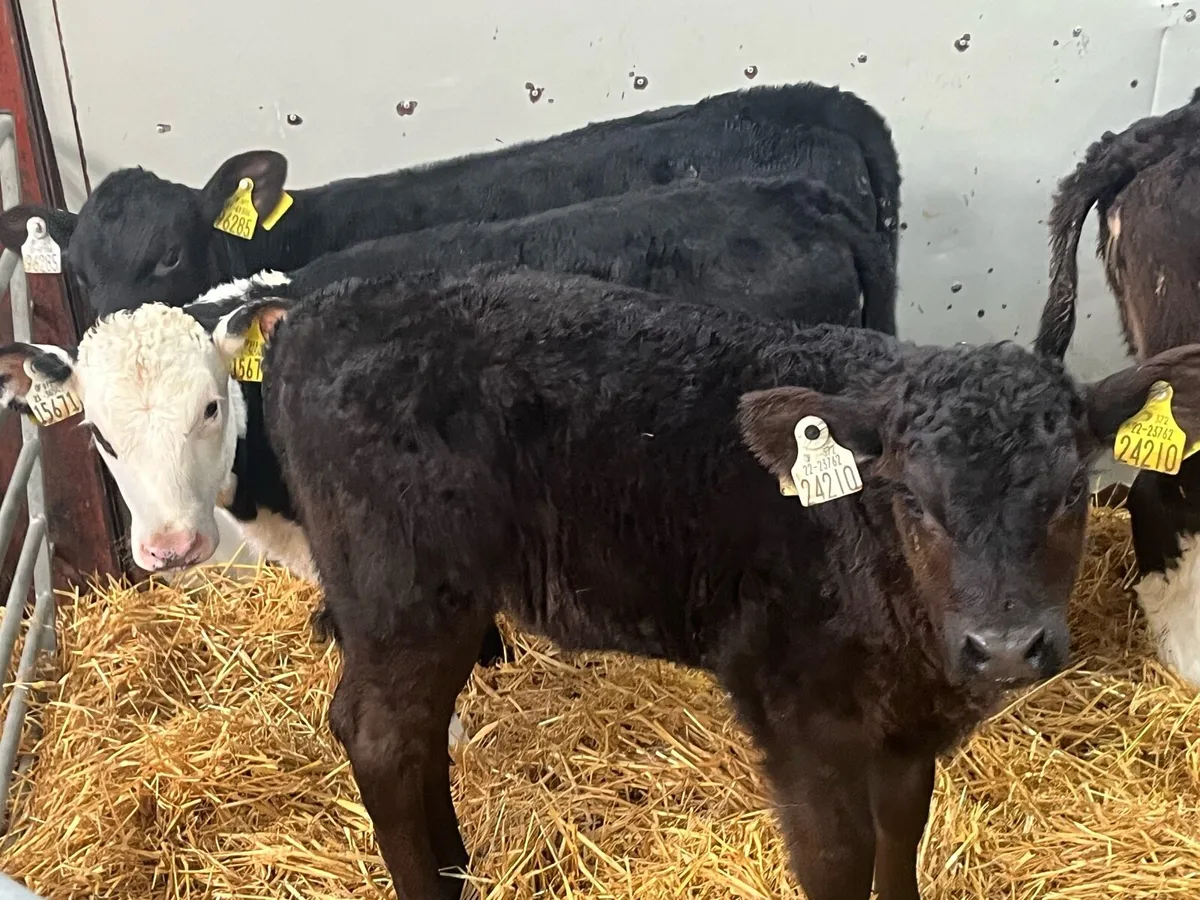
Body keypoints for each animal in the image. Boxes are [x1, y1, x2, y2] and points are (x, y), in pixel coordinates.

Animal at [7, 268, 1200, 900]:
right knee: (380, 732)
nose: (1006, 647)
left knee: (410, 730)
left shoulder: (907, 728)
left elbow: (899, 842)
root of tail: (333, 306)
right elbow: (839, 859)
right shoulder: (798, 716)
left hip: (438, 599)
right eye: (915, 501)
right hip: (401, 590)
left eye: (1069, 491)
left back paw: (460, 868)